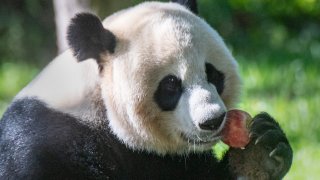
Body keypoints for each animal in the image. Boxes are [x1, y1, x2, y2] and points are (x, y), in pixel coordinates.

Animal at [0, 0, 292, 179]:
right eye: (171, 84)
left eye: (212, 73)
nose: (212, 120)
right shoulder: (42, 146)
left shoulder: (170, 161)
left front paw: (260, 156)